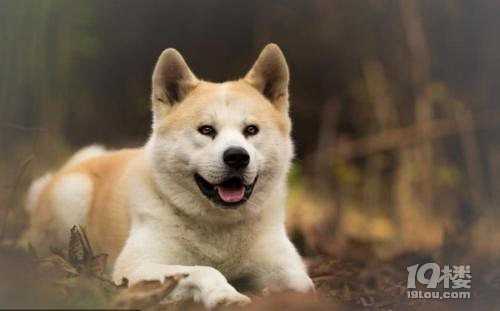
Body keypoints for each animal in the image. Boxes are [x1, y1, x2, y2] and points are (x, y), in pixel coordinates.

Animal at [26, 44, 312, 310]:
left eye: (251, 130)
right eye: (206, 130)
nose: (237, 157)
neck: (218, 227)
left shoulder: (287, 269)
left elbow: (304, 285)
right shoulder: (136, 267)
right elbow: (203, 270)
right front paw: (224, 294)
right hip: (73, 193)